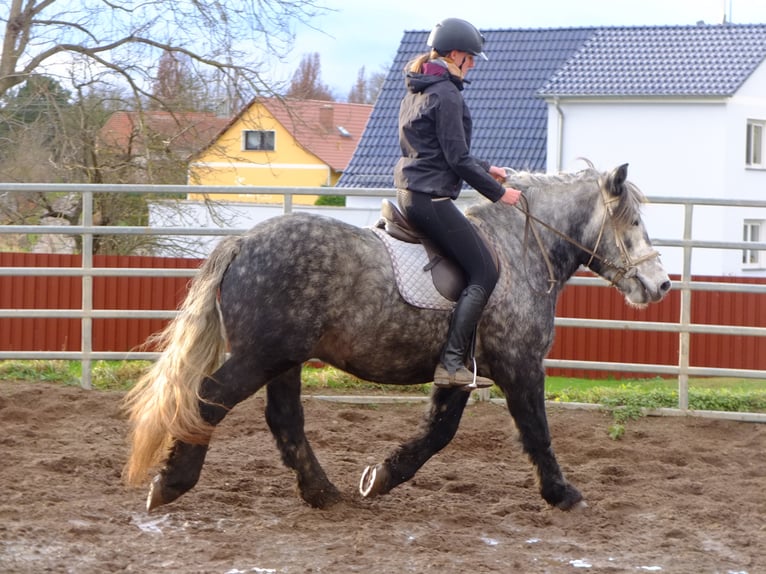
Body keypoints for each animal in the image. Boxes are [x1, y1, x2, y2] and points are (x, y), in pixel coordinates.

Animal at [121, 162, 672, 512]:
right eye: (633, 221)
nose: (661, 285)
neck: (520, 253)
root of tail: (241, 242)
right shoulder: (520, 365)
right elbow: (536, 431)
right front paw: (563, 495)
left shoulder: (462, 370)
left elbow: (438, 431)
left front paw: (381, 477)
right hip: (262, 355)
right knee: (208, 399)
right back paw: (170, 484)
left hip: (284, 358)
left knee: (283, 419)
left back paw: (324, 494)